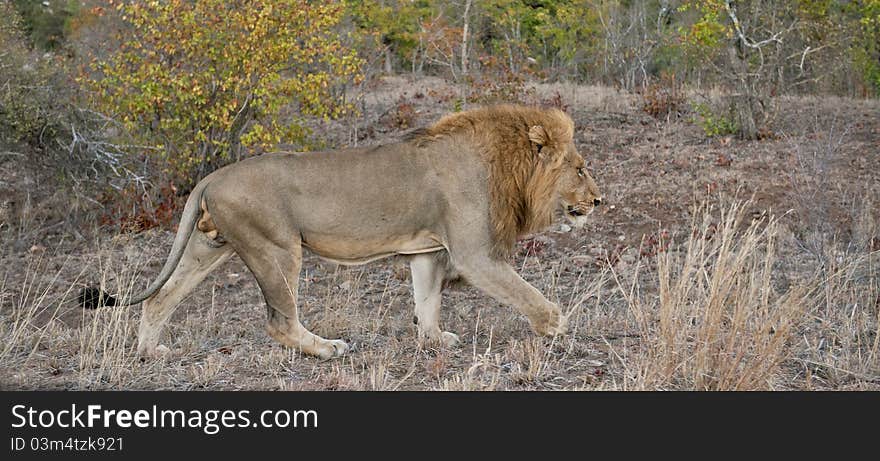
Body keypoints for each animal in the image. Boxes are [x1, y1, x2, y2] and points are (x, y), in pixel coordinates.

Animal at [81, 105, 604, 360]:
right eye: (580, 169)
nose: (599, 201)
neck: (505, 163)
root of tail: (212, 176)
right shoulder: (474, 254)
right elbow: (528, 295)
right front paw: (558, 326)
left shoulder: (428, 251)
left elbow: (427, 301)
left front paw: (435, 341)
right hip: (276, 247)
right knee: (279, 320)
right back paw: (327, 349)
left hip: (210, 245)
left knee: (159, 297)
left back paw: (150, 352)